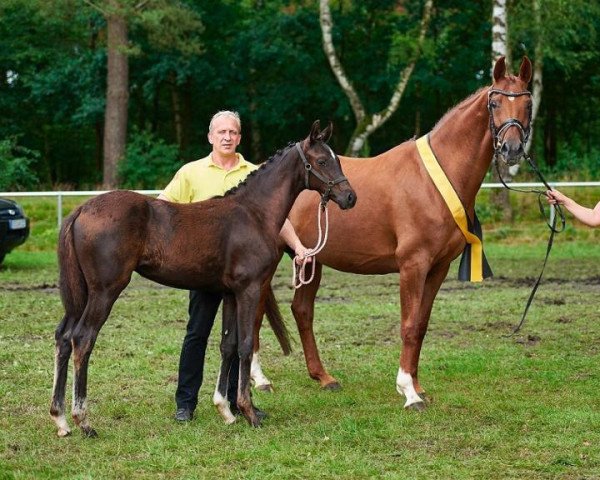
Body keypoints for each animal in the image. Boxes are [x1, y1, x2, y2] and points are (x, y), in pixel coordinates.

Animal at [50, 120, 356, 436]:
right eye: (321, 161)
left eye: (337, 159)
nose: (349, 197)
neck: (254, 213)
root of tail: (81, 210)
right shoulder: (249, 289)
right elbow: (246, 344)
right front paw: (249, 412)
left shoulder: (231, 293)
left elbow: (228, 345)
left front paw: (226, 410)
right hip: (105, 291)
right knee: (83, 339)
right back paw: (83, 420)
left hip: (81, 294)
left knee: (63, 337)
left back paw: (60, 419)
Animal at [251, 56, 532, 408]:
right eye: (494, 103)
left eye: (528, 103)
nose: (511, 149)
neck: (433, 179)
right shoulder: (413, 264)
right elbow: (408, 325)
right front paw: (409, 392)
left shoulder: (438, 268)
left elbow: (421, 325)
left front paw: (417, 385)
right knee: (256, 311)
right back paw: (260, 381)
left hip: (311, 260)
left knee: (302, 311)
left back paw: (324, 377)